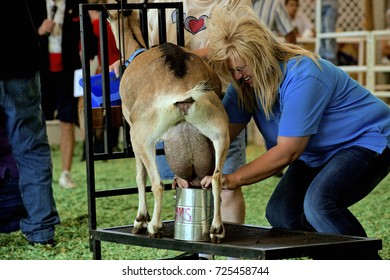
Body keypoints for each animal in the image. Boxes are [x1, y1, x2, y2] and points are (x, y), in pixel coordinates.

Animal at [107, 9, 229, 243]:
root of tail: (183, 93)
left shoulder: (131, 129)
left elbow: (140, 176)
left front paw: (140, 219)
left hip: (143, 139)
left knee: (156, 183)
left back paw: (154, 226)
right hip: (220, 131)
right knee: (217, 177)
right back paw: (217, 230)